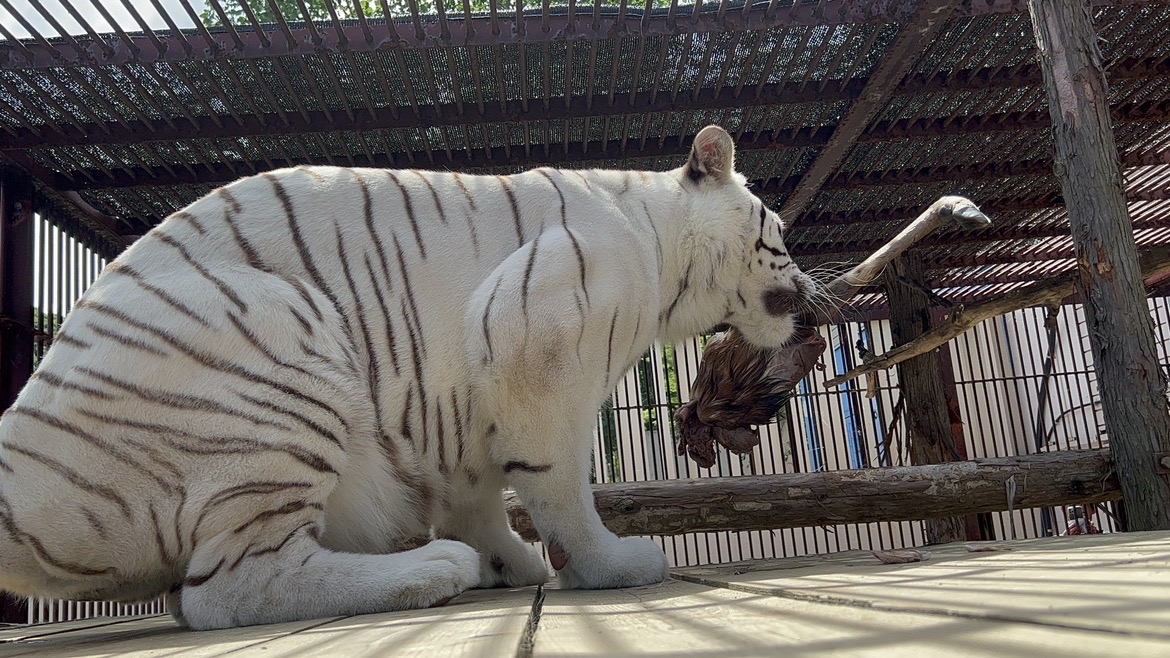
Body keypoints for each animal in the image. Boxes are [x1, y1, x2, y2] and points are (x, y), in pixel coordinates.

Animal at [0, 125, 814, 627]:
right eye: (777, 231)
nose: (809, 292)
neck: (656, 242)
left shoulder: (463, 408)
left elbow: (477, 495)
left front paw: (511, 562)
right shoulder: (537, 346)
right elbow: (560, 485)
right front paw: (609, 563)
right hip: (282, 353)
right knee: (227, 588)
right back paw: (429, 571)